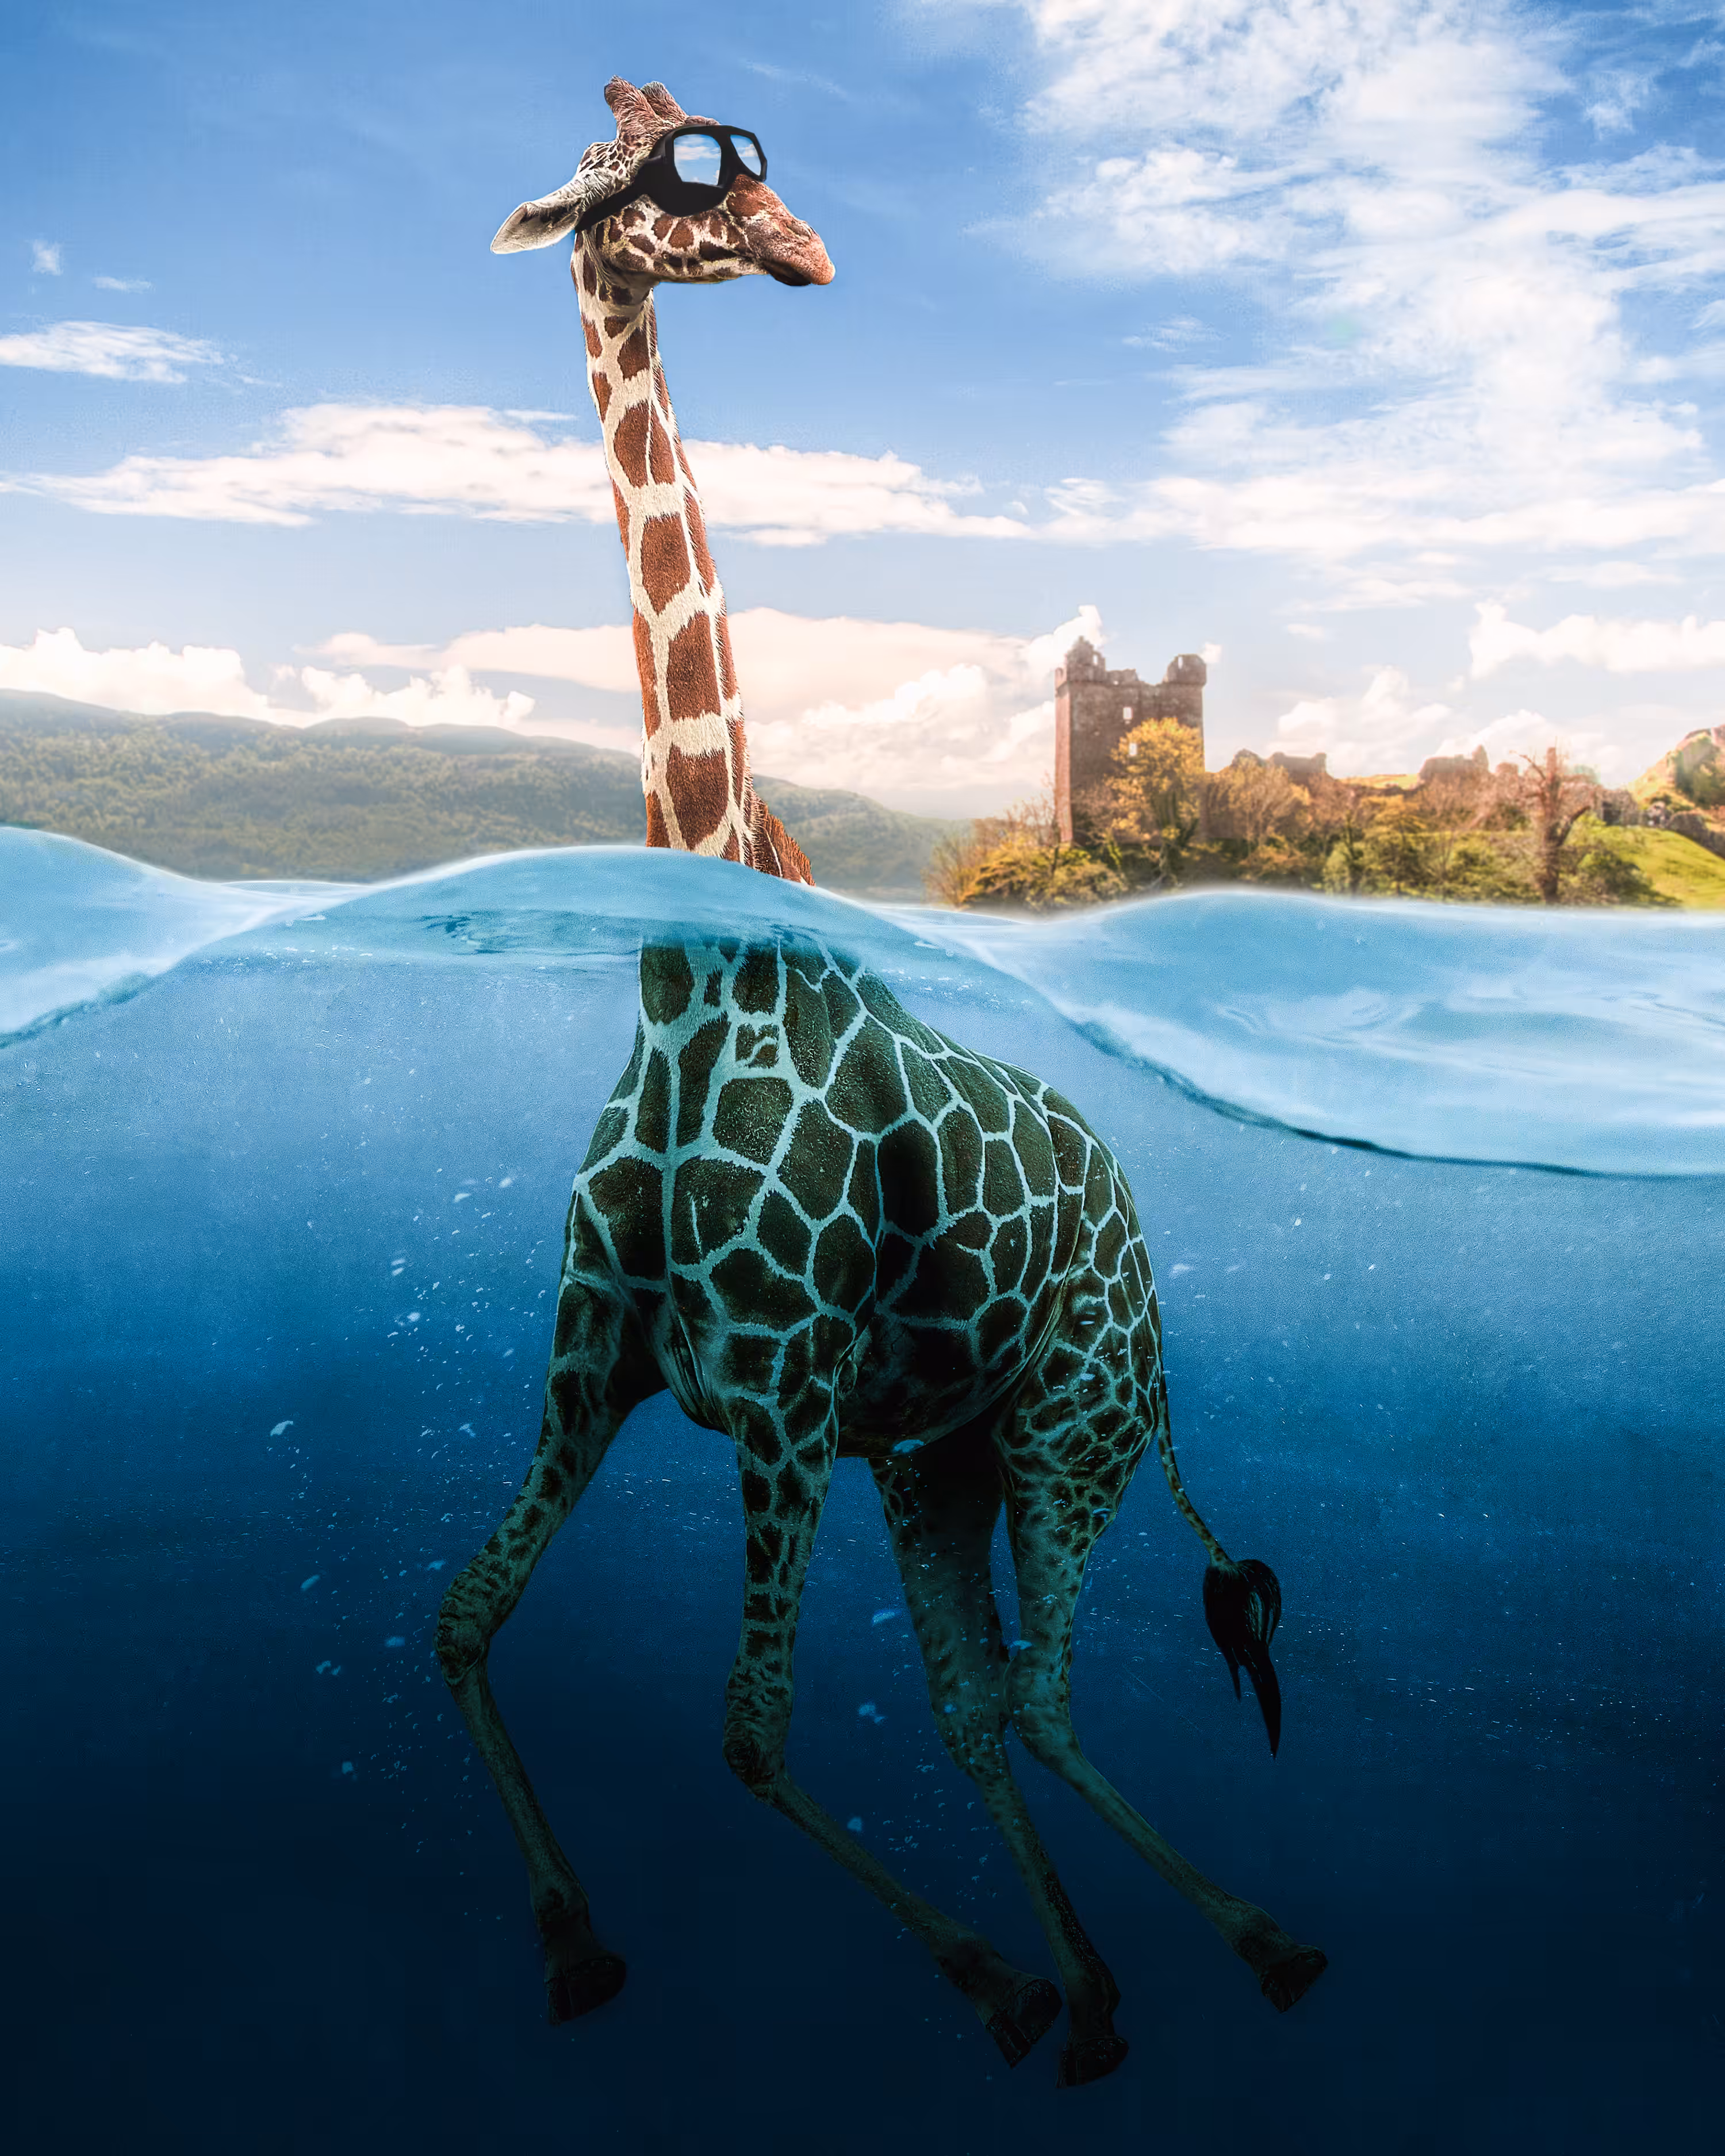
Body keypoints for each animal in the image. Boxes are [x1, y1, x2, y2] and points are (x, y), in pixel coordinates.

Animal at [437, 78, 1326, 2088]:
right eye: (649, 172)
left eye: (722, 149)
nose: (804, 248)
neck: (687, 981)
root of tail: (1138, 1231)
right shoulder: (595, 1364)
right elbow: (461, 1617)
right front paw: (571, 1938)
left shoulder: (779, 1395)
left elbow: (751, 1727)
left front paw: (982, 1970)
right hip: (946, 1454)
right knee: (979, 1696)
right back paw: (1101, 1991)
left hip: (1075, 1421)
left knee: (1044, 1694)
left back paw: (1250, 1942)